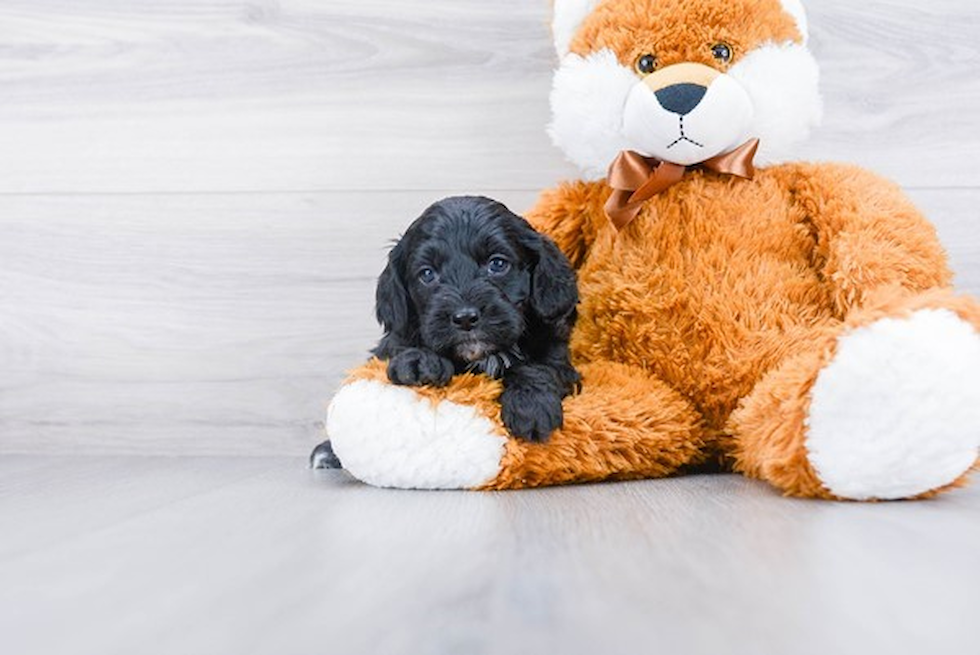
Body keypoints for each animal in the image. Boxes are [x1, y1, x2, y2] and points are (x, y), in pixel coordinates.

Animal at [372, 195, 580, 440]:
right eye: (427, 274)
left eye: (497, 264)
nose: (465, 318)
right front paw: (420, 362)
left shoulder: (558, 356)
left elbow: (539, 367)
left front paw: (530, 402)